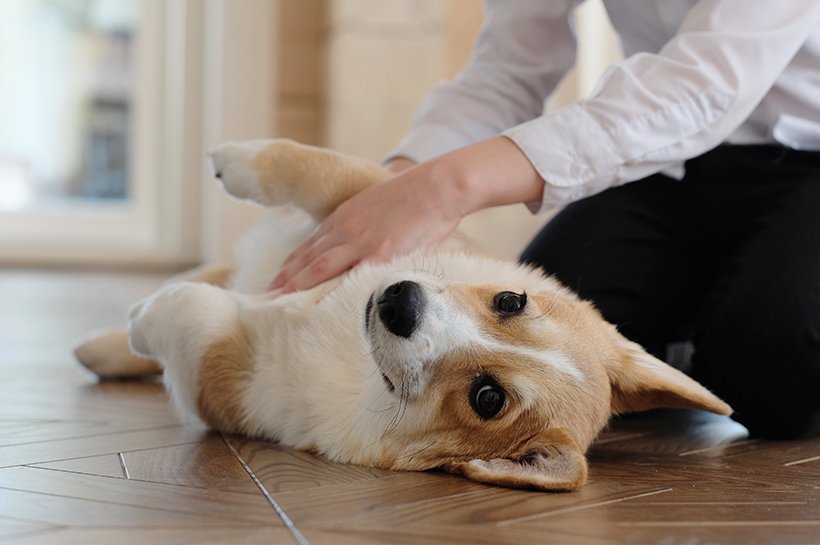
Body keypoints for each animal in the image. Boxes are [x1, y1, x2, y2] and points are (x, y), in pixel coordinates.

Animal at [75, 138, 732, 490]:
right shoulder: (377, 211)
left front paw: (146, 314)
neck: (358, 358)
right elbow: (316, 169)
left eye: (487, 398)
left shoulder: (228, 386)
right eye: (510, 301)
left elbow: (191, 312)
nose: (398, 301)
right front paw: (233, 159)